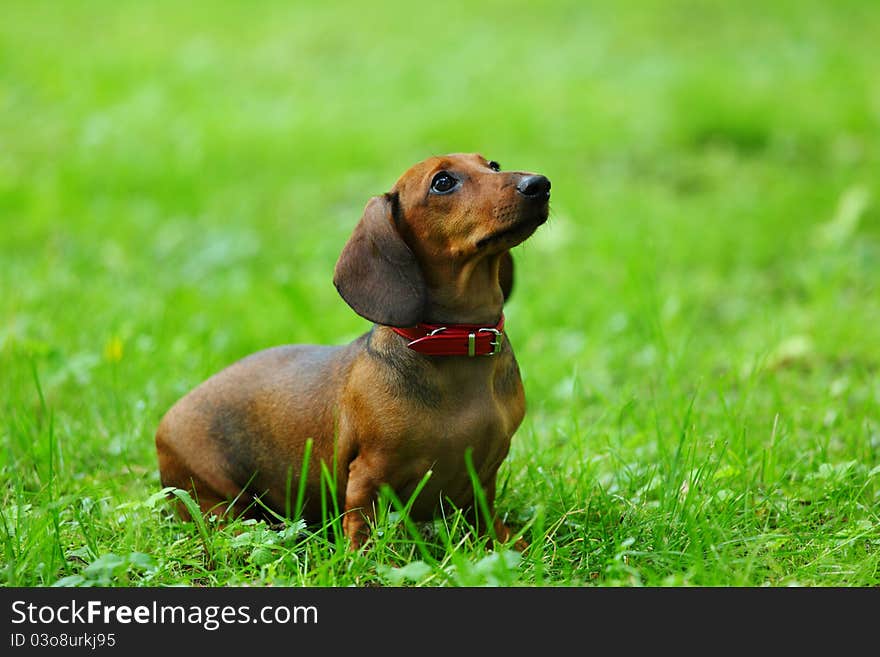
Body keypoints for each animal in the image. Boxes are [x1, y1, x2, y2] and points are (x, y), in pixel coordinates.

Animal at [155, 154, 548, 548]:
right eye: (442, 182)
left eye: (493, 164)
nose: (539, 184)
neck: (456, 341)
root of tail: (166, 419)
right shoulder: (368, 473)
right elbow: (363, 528)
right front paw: (367, 559)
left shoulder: (483, 477)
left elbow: (486, 519)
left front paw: (511, 545)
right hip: (211, 493)